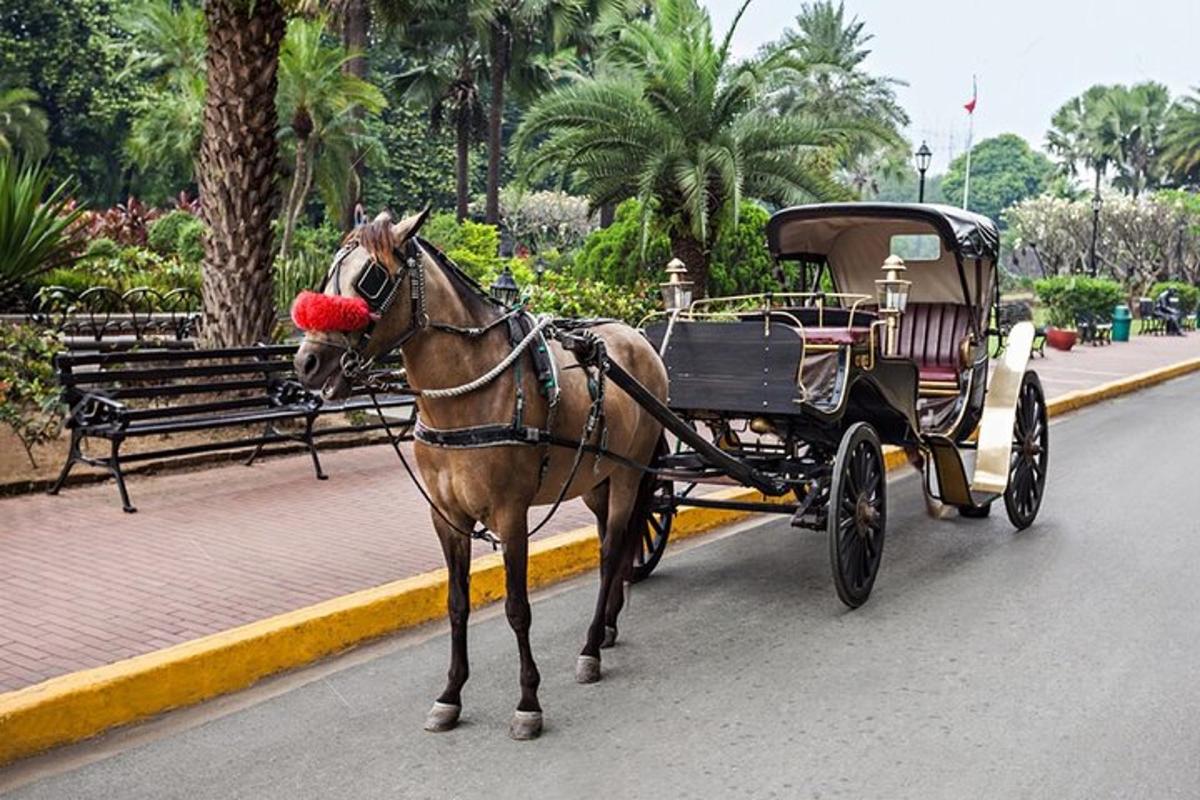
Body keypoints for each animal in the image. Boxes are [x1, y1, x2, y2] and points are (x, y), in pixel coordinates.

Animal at [290, 209, 667, 743]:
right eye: (327, 275)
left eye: (371, 278)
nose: (307, 362)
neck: (467, 392)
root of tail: (638, 340)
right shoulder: (446, 516)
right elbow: (456, 604)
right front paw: (450, 695)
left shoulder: (510, 514)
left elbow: (516, 608)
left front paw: (529, 702)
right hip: (598, 478)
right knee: (608, 549)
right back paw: (609, 625)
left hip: (630, 476)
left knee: (614, 551)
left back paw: (591, 646)